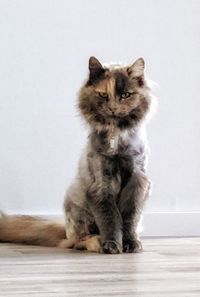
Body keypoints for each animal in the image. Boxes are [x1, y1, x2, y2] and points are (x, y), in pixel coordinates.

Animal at [0, 56, 153, 253]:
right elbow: (110, 219)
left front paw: (131, 244)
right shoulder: (101, 183)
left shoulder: (137, 181)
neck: (116, 135)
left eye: (126, 95)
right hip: (76, 204)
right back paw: (96, 242)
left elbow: (129, 218)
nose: (112, 108)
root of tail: (65, 232)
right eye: (103, 95)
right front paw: (111, 245)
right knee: (77, 241)